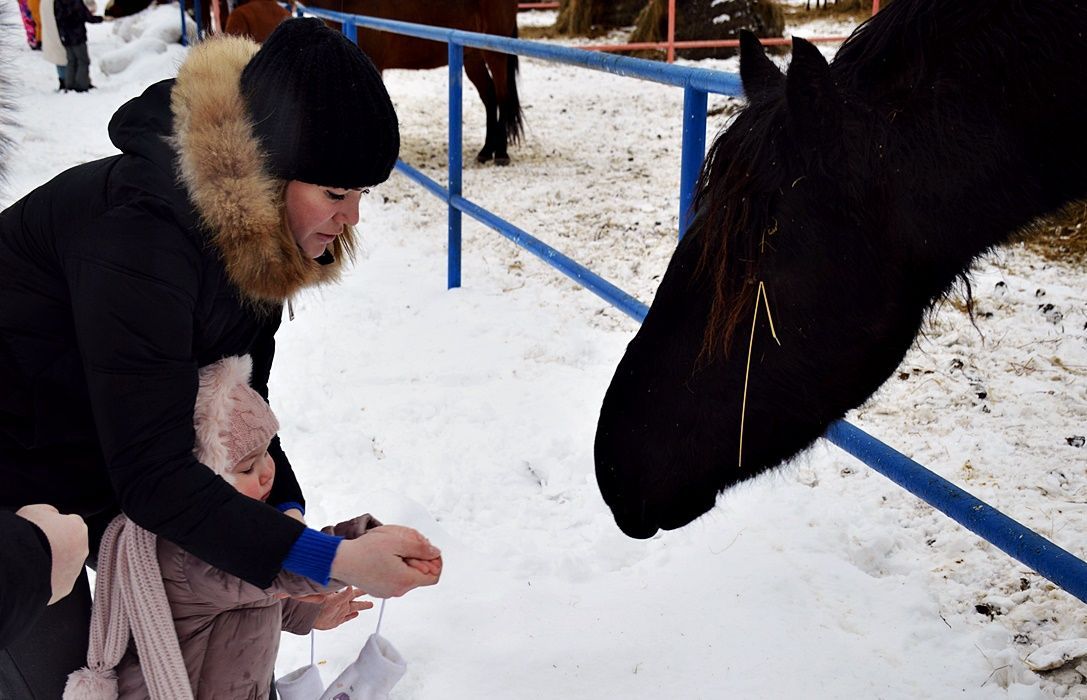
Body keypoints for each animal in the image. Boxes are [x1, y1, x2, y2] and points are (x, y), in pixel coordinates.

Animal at [304, 0, 523, 165]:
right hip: (472, 57)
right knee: (489, 98)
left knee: (502, 97)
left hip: (495, 54)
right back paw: (485, 151)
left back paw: (501, 154)